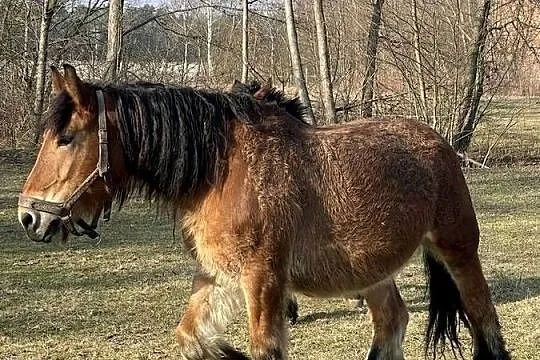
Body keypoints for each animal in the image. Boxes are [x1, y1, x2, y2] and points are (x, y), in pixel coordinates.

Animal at [19, 65, 510, 360]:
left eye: (66, 138)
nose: (29, 216)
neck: (222, 171)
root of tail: (440, 144)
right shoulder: (217, 276)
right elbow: (192, 337)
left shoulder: (264, 280)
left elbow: (263, 349)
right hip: (372, 272)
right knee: (392, 322)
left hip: (459, 252)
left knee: (484, 320)